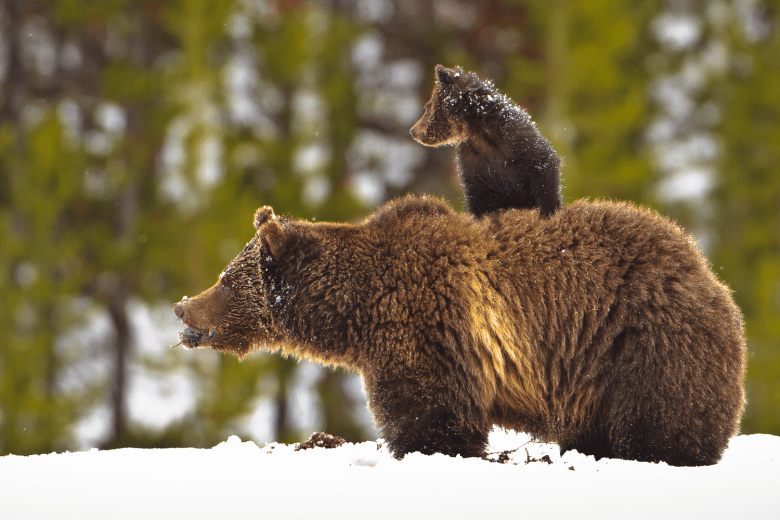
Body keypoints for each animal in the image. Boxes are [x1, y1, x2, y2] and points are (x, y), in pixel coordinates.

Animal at [173, 195, 746, 466]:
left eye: (227, 279)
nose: (182, 309)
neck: (356, 310)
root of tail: (708, 273)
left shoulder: (428, 327)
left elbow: (431, 413)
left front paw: (429, 449)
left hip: (639, 343)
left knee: (658, 417)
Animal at [410, 65, 562, 219]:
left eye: (427, 107)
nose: (413, 131)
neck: (479, 132)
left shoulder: (520, 143)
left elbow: (544, 174)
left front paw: (547, 212)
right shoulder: (472, 161)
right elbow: (477, 197)